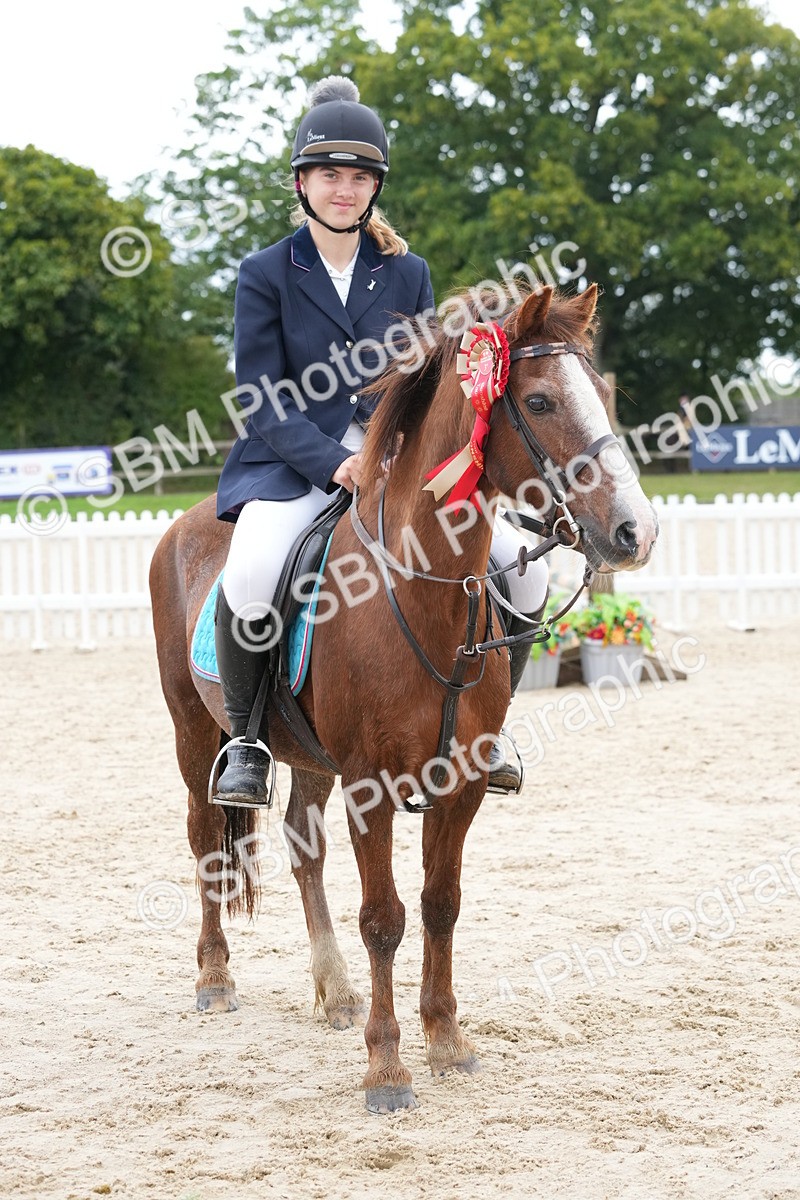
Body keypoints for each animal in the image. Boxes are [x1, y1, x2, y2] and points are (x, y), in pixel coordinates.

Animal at [149, 282, 659, 1114]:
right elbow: (384, 918)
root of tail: (189, 521)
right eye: (541, 401)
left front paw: (447, 1039)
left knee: (302, 846)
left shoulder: (461, 783)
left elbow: (440, 903)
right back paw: (216, 977)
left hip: (308, 756)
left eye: (603, 394)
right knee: (205, 839)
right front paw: (386, 1067)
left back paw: (335, 991)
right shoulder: (371, 784)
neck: (422, 592)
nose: (634, 531)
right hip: (196, 735)